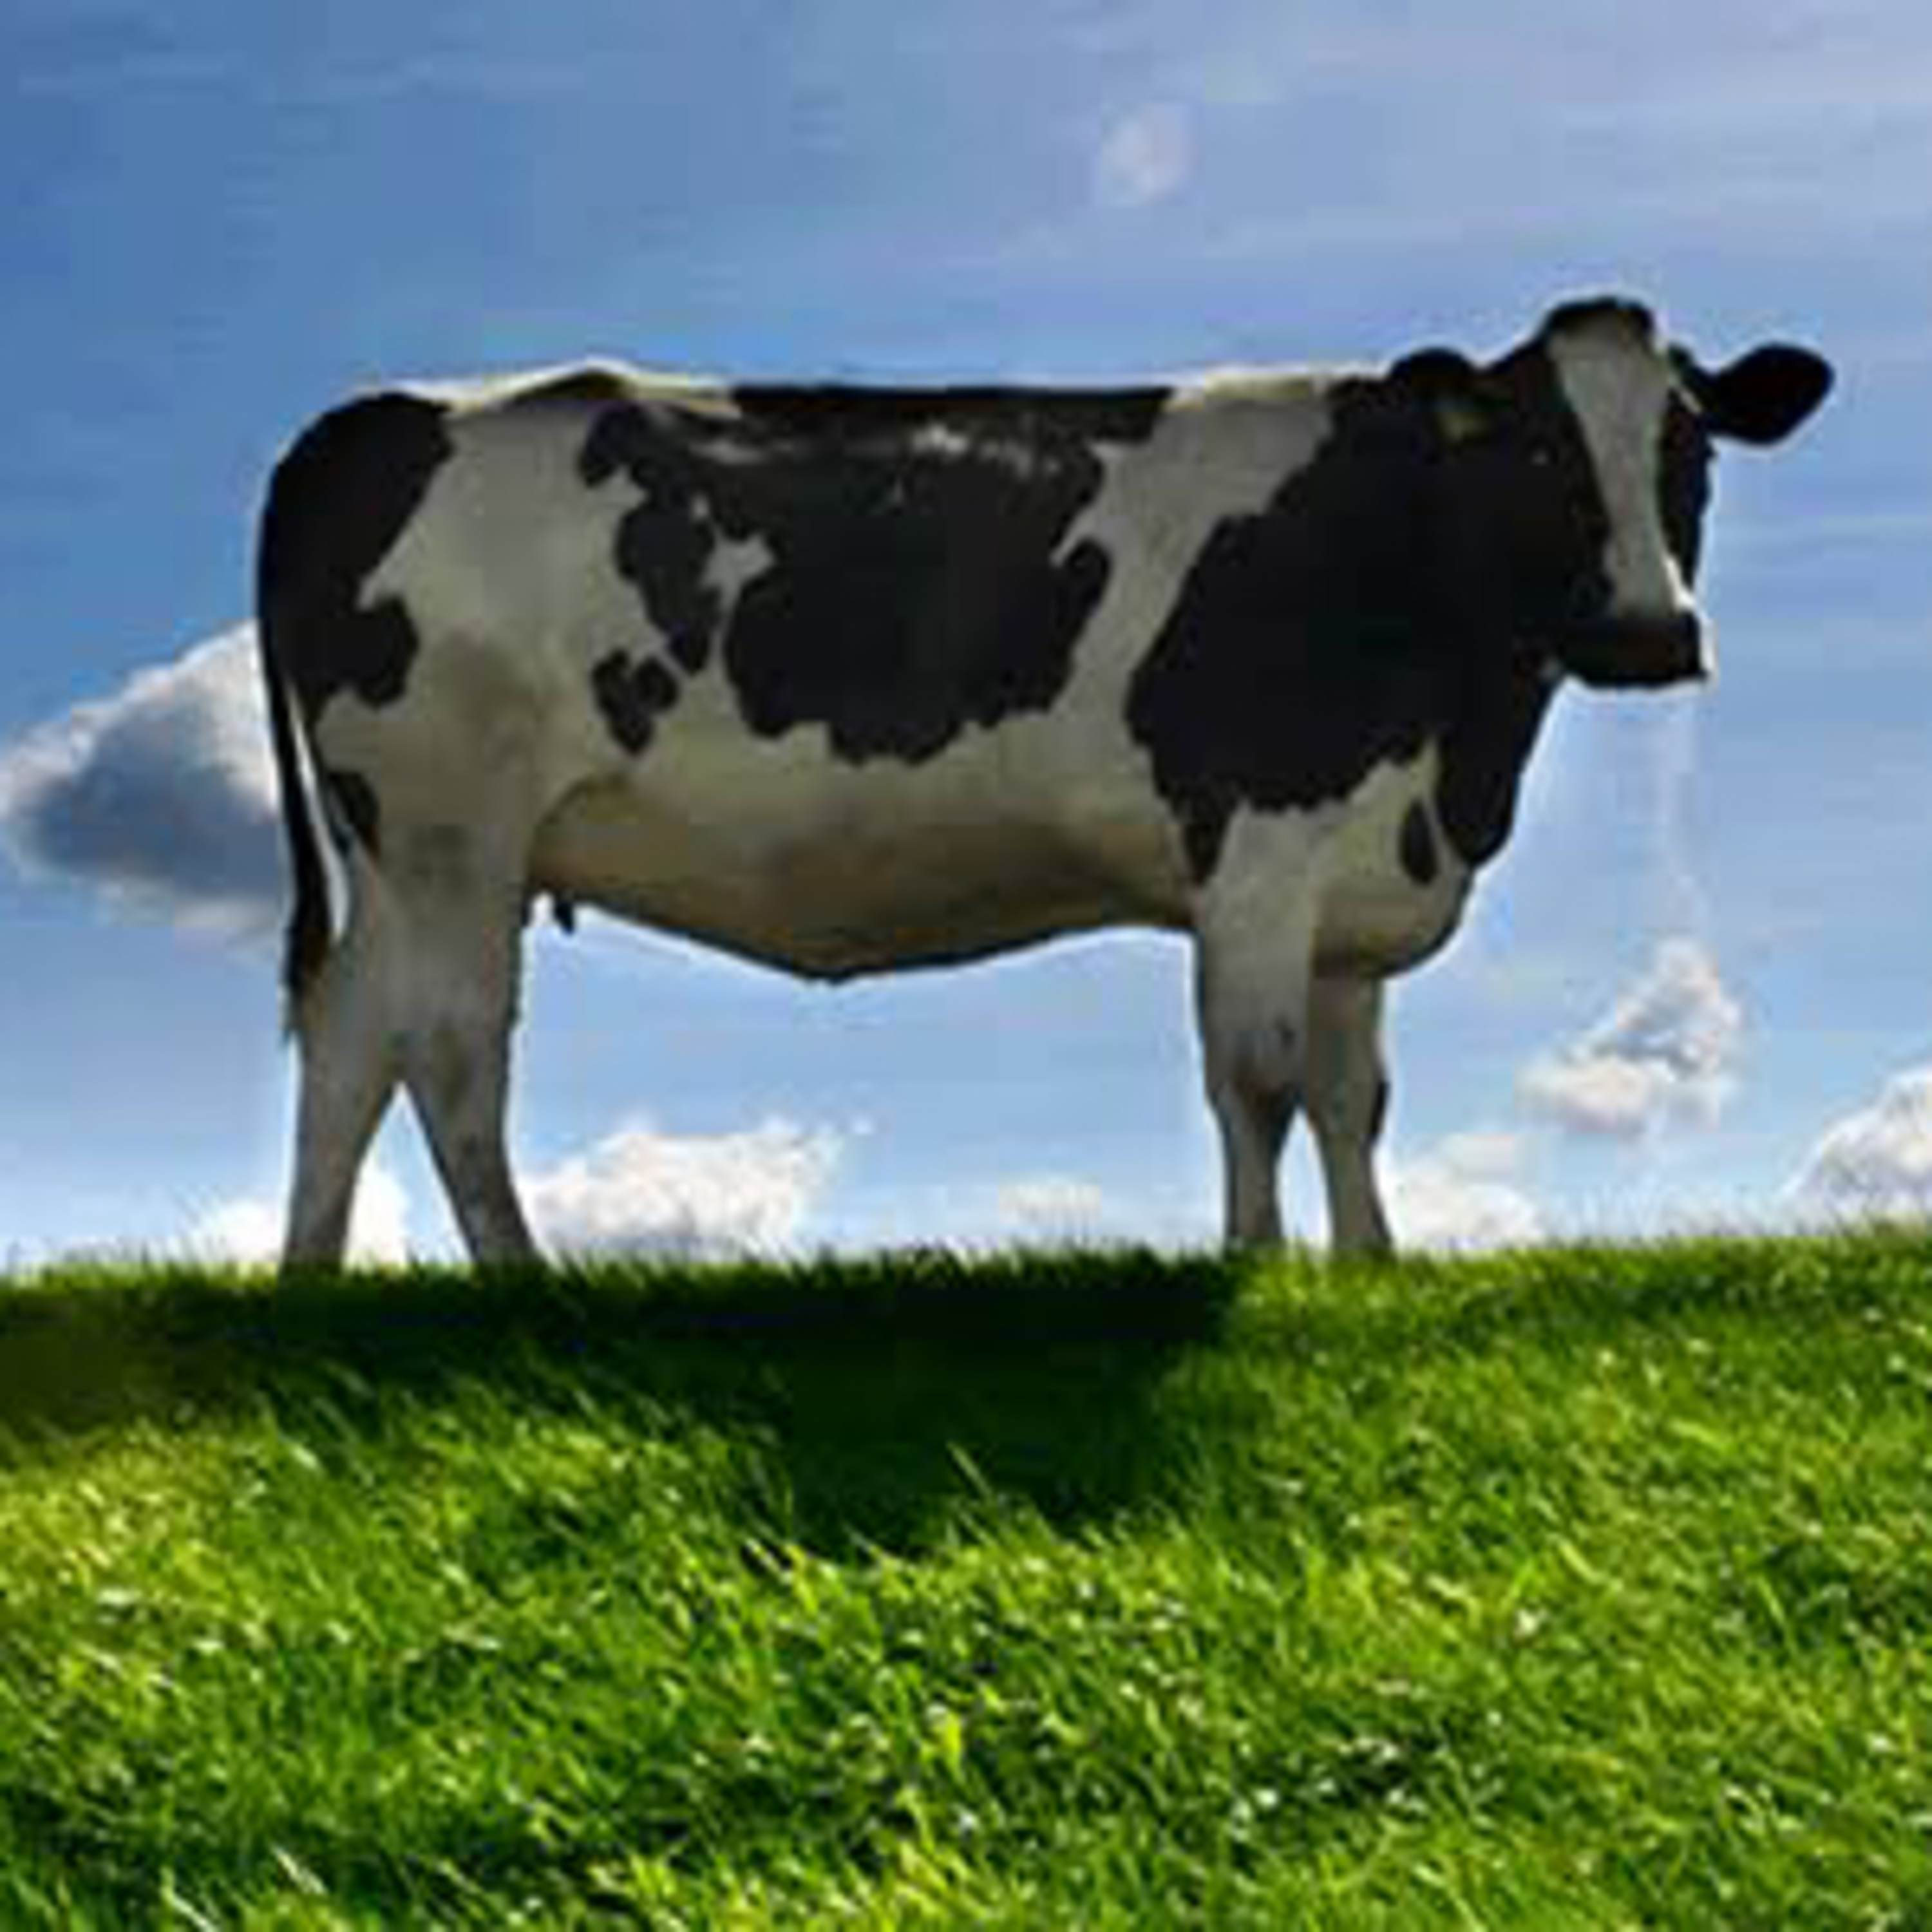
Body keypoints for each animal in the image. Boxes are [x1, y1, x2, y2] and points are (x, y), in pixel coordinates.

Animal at [256, 297, 1831, 1266]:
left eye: (1687, 445)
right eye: (1540, 447)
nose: (1649, 631)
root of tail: (376, 416)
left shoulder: (1356, 869)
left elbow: (1352, 1099)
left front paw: (1370, 1272)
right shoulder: (1259, 845)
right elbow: (1259, 1079)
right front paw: (1259, 1267)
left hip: (395, 851)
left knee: (347, 1039)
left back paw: (311, 1284)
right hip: (456, 831)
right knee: (452, 1053)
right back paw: (521, 1276)